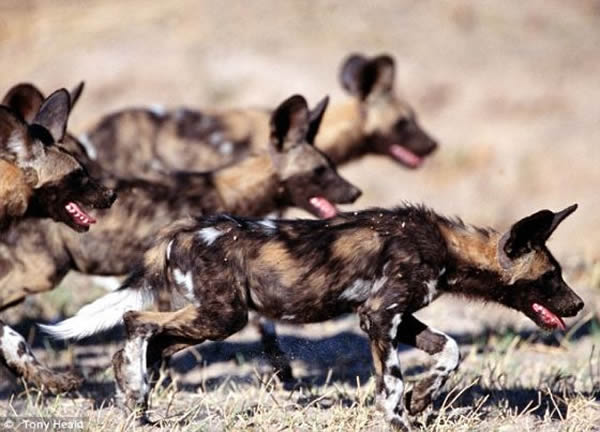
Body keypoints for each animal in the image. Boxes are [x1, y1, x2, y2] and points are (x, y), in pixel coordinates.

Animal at [41, 205, 580, 428]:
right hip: (223, 316)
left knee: (149, 343)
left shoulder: (395, 316)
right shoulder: (379, 317)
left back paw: (136, 400)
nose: (578, 305)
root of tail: (182, 230)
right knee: (136, 321)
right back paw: (135, 394)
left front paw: (424, 399)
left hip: (212, 318)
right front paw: (401, 419)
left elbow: (450, 349)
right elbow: (391, 385)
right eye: (552, 276)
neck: (446, 247)